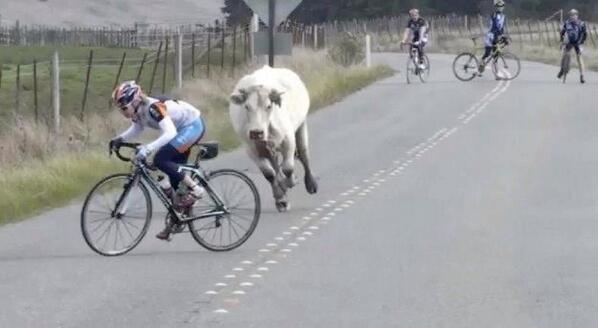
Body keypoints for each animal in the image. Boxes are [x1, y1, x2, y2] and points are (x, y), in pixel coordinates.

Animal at [231, 65, 322, 211]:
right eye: (246, 106)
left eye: (268, 106)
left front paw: (291, 182)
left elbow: (288, 168)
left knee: (303, 154)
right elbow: (269, 173)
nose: (256, 132)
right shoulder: (252, 149)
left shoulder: (288, 140)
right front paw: (280, 198)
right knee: (276, 167)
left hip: (301, 126)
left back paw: (310, 184)